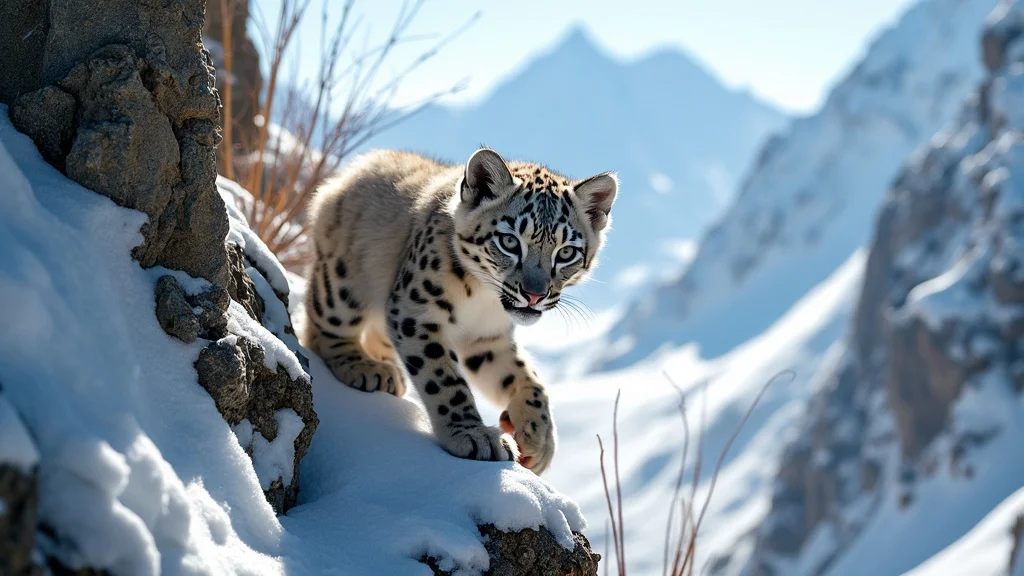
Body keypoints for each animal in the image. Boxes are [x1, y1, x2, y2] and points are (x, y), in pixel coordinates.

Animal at [301, 147, 617, 474]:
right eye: (509, 241)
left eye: (566, 251)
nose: (534, 295)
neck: (483, 300)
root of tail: (353, 169)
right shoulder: (417, 312)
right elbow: (444, 379)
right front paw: (474, 435)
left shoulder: (488, 339)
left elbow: (528, 380)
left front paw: (539, 441)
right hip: (342, 285)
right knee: (321, 329)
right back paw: (366, 367)